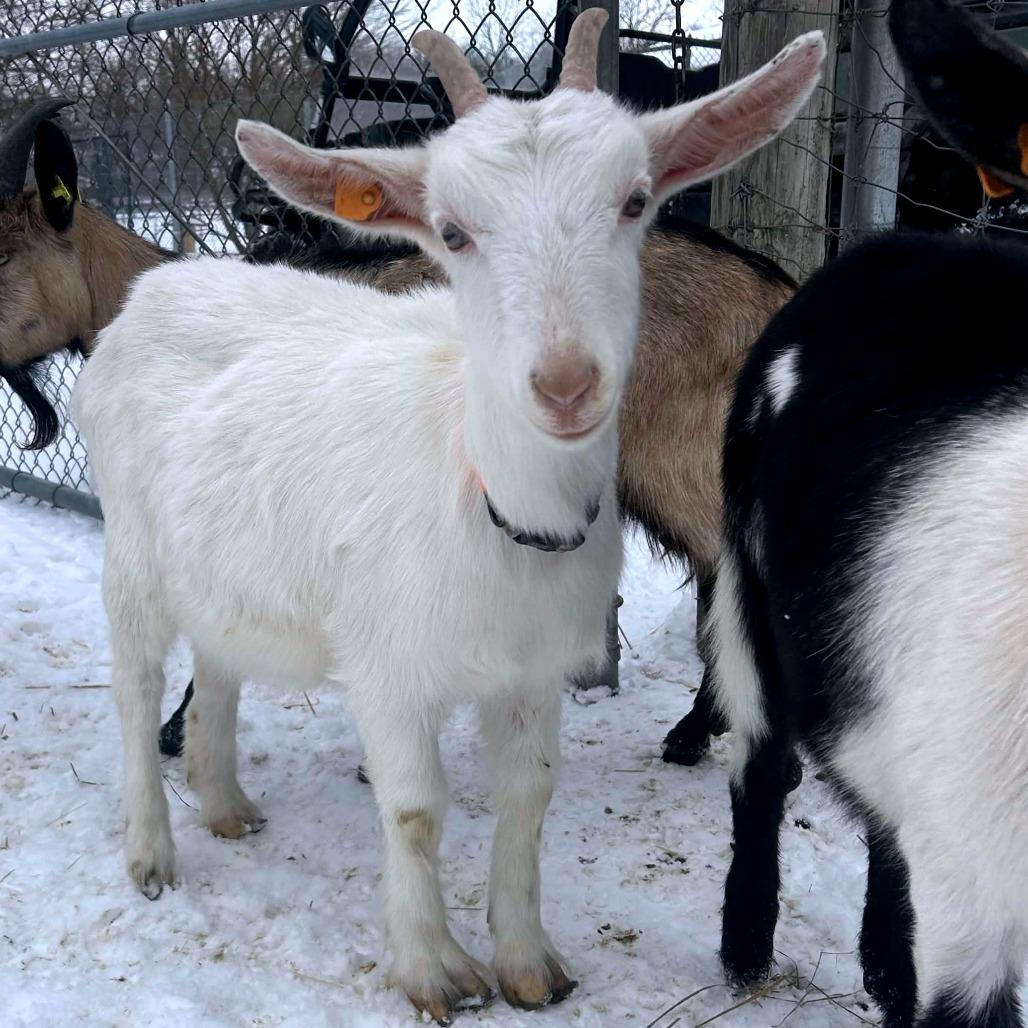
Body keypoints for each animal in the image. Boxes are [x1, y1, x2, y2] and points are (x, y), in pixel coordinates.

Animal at [72, 15, 824, 1023]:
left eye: (635, 201)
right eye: (452, 232)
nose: (564, 383)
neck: (493, 510)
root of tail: (157, 291)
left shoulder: (532, 671)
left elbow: (529, 798)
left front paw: (529, 967)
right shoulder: (388, 670)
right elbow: (416, 807)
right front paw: (431, 968)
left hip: (226, 563)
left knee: (221, 659)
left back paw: (225, 804)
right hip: (132, 555)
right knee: (135, 685)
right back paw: (152, 851)